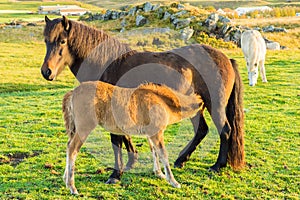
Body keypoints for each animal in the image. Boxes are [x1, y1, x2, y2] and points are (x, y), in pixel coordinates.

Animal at [41, 16, 244, 184]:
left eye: (62, 41)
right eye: (46, 41)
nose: (46, 71)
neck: (108, 63)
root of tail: (226, 58)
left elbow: (117, 139)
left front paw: (116, 174)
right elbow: (124, 135)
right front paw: (131, 162)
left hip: (215, 105)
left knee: (225, 130)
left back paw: (217, 166)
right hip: (194, 107)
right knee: (202, 130)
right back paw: (180, 160)